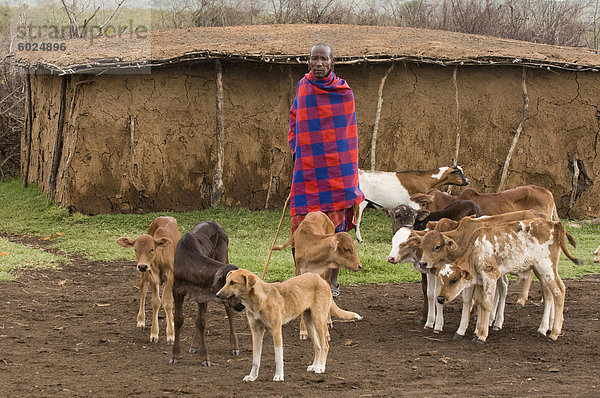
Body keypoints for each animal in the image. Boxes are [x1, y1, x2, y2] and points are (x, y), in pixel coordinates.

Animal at [115, 216, 179, 344]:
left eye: (152, 249)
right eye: (135, 249)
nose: (142, 266)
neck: (159, 259)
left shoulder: (170, 276)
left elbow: (168, 302)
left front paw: (170, 335)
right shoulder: (151, 276)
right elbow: (156, 302)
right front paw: (154, 334)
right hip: (145, 275)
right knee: (142, 290)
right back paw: (141, 321)